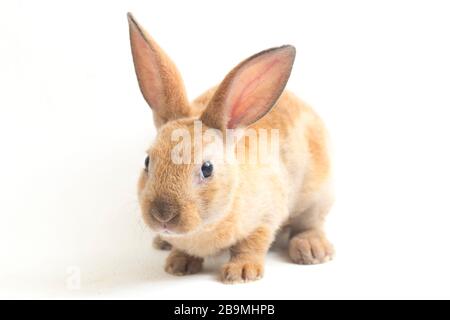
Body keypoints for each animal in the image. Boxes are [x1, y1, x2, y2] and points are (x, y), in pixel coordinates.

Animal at [126, 12, 334, 284]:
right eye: (147, 162)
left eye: (207, 168)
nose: (163, 215)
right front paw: (178, 264)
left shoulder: (266, 218)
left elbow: (252, 244)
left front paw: (241, 272)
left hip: (317, 195)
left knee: (311, 223)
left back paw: (312, 250)